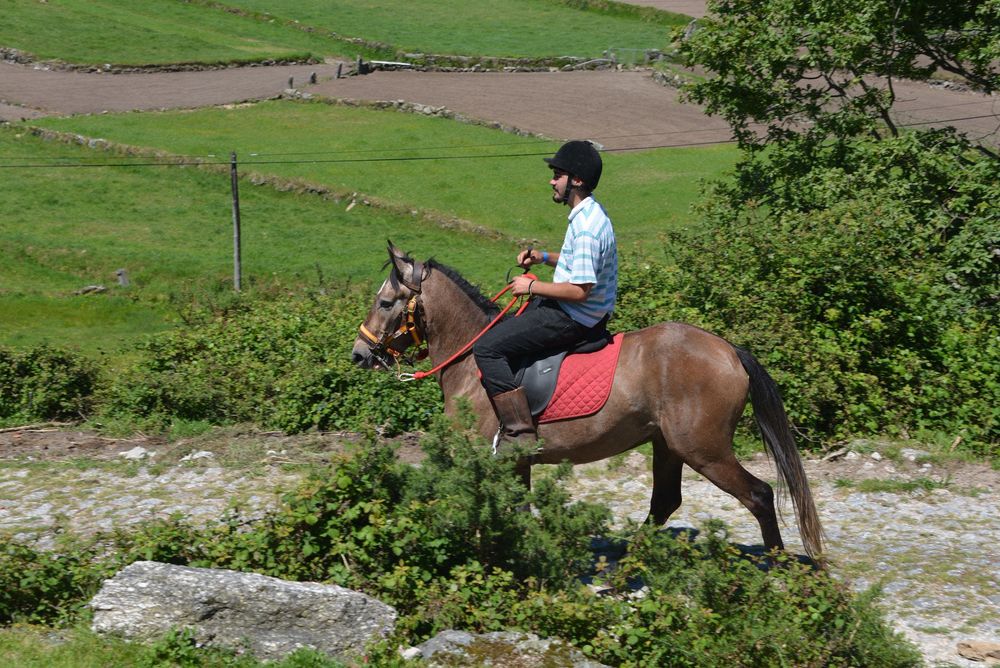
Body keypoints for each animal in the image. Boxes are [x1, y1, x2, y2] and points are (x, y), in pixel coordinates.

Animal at [352, 243, 824, 559]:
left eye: (386, 301)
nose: (359, 354)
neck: (470, 360)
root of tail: (729, 351)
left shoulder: (487, 456)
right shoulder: (517, 461)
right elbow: (519, 510)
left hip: (703, 450)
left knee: (759, 495)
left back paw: (781, 571)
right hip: (668, 446)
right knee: (664, 503)